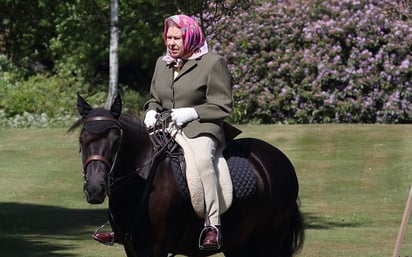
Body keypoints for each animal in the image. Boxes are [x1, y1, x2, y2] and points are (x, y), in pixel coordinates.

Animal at [69, 93, 304, 256]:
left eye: (117, 141)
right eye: (82, 139)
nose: (95, 189)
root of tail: (280, 159)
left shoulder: (154, 249)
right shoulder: (132, 248)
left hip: (269, 237)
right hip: (239, 242)